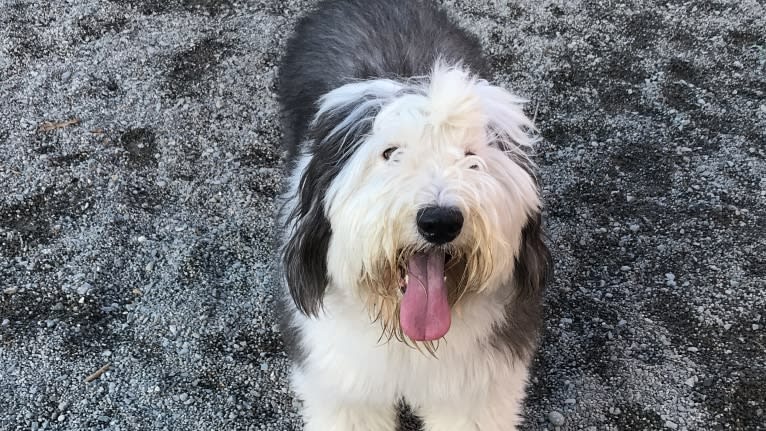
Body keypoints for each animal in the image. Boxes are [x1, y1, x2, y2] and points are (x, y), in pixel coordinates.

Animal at [276, 1, 552, 430]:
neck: (410, 342)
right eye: (391, 153)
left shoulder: (475, 390)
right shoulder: (344, 384)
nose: (440, 221)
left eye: (471, 156)